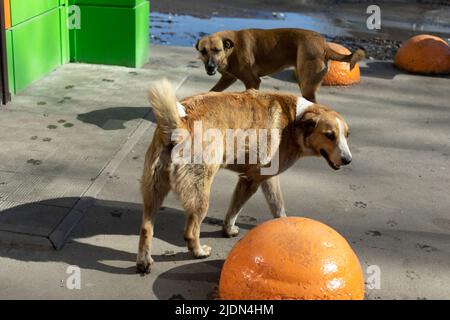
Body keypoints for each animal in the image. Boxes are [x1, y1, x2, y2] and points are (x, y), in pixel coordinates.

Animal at [135, 79, 354, 272]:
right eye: (329, 135)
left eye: (346, 135)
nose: (348, 160)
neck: (295, 120)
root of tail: (179, 124)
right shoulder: (257, 180)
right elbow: (262, 208)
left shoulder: (252, 180)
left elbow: (246, 208)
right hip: (200, 195)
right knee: (190, 232)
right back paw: (198, 251)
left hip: (154, 190)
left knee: (146, 228)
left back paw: (144, 261)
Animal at [195, 28, 364, 102]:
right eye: (203, 51)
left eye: (217, 50)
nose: (210, 67)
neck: (231, 49)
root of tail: (323, 44)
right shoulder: (228, 78)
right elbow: (212, 91)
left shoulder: (252, 81)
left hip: (307, 85)